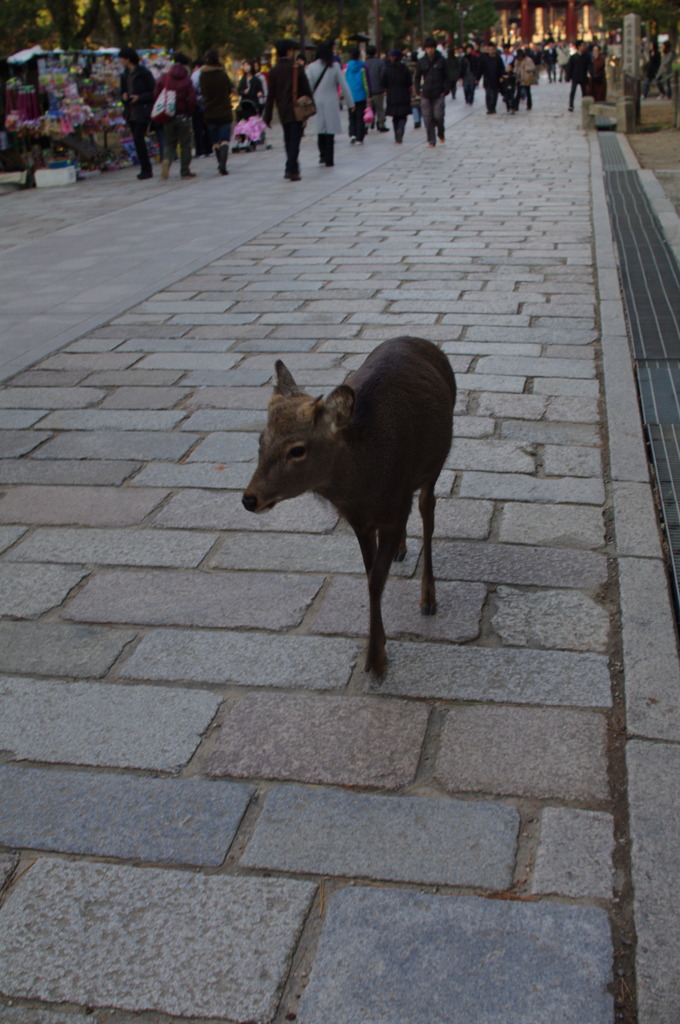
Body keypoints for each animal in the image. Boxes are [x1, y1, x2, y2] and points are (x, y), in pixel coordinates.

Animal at [240, 333, 456, 671]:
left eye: (297, 449)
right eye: (261, 441)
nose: (250, 498)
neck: (362, 487)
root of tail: (417, 339)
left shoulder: (393, 508)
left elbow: (375, 581)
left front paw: (376, 661)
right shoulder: (360, 521)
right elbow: (370, 575)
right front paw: (378, 646)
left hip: (434, 466)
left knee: (427, 511)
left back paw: (429, 598)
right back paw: (402, 551)